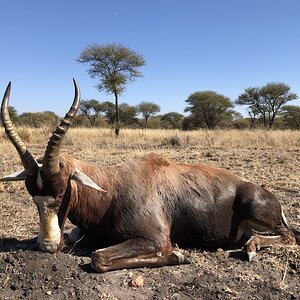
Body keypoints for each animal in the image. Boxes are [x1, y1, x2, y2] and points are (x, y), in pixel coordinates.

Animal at [1, 81, 298, 274]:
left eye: (62, 190)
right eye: (32, 195)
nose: (47, 246)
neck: (112, 188)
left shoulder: (154, 239)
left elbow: (99, 258)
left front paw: (179, 256)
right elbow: (77, 238)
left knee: (288, 236)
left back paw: (251, 248)